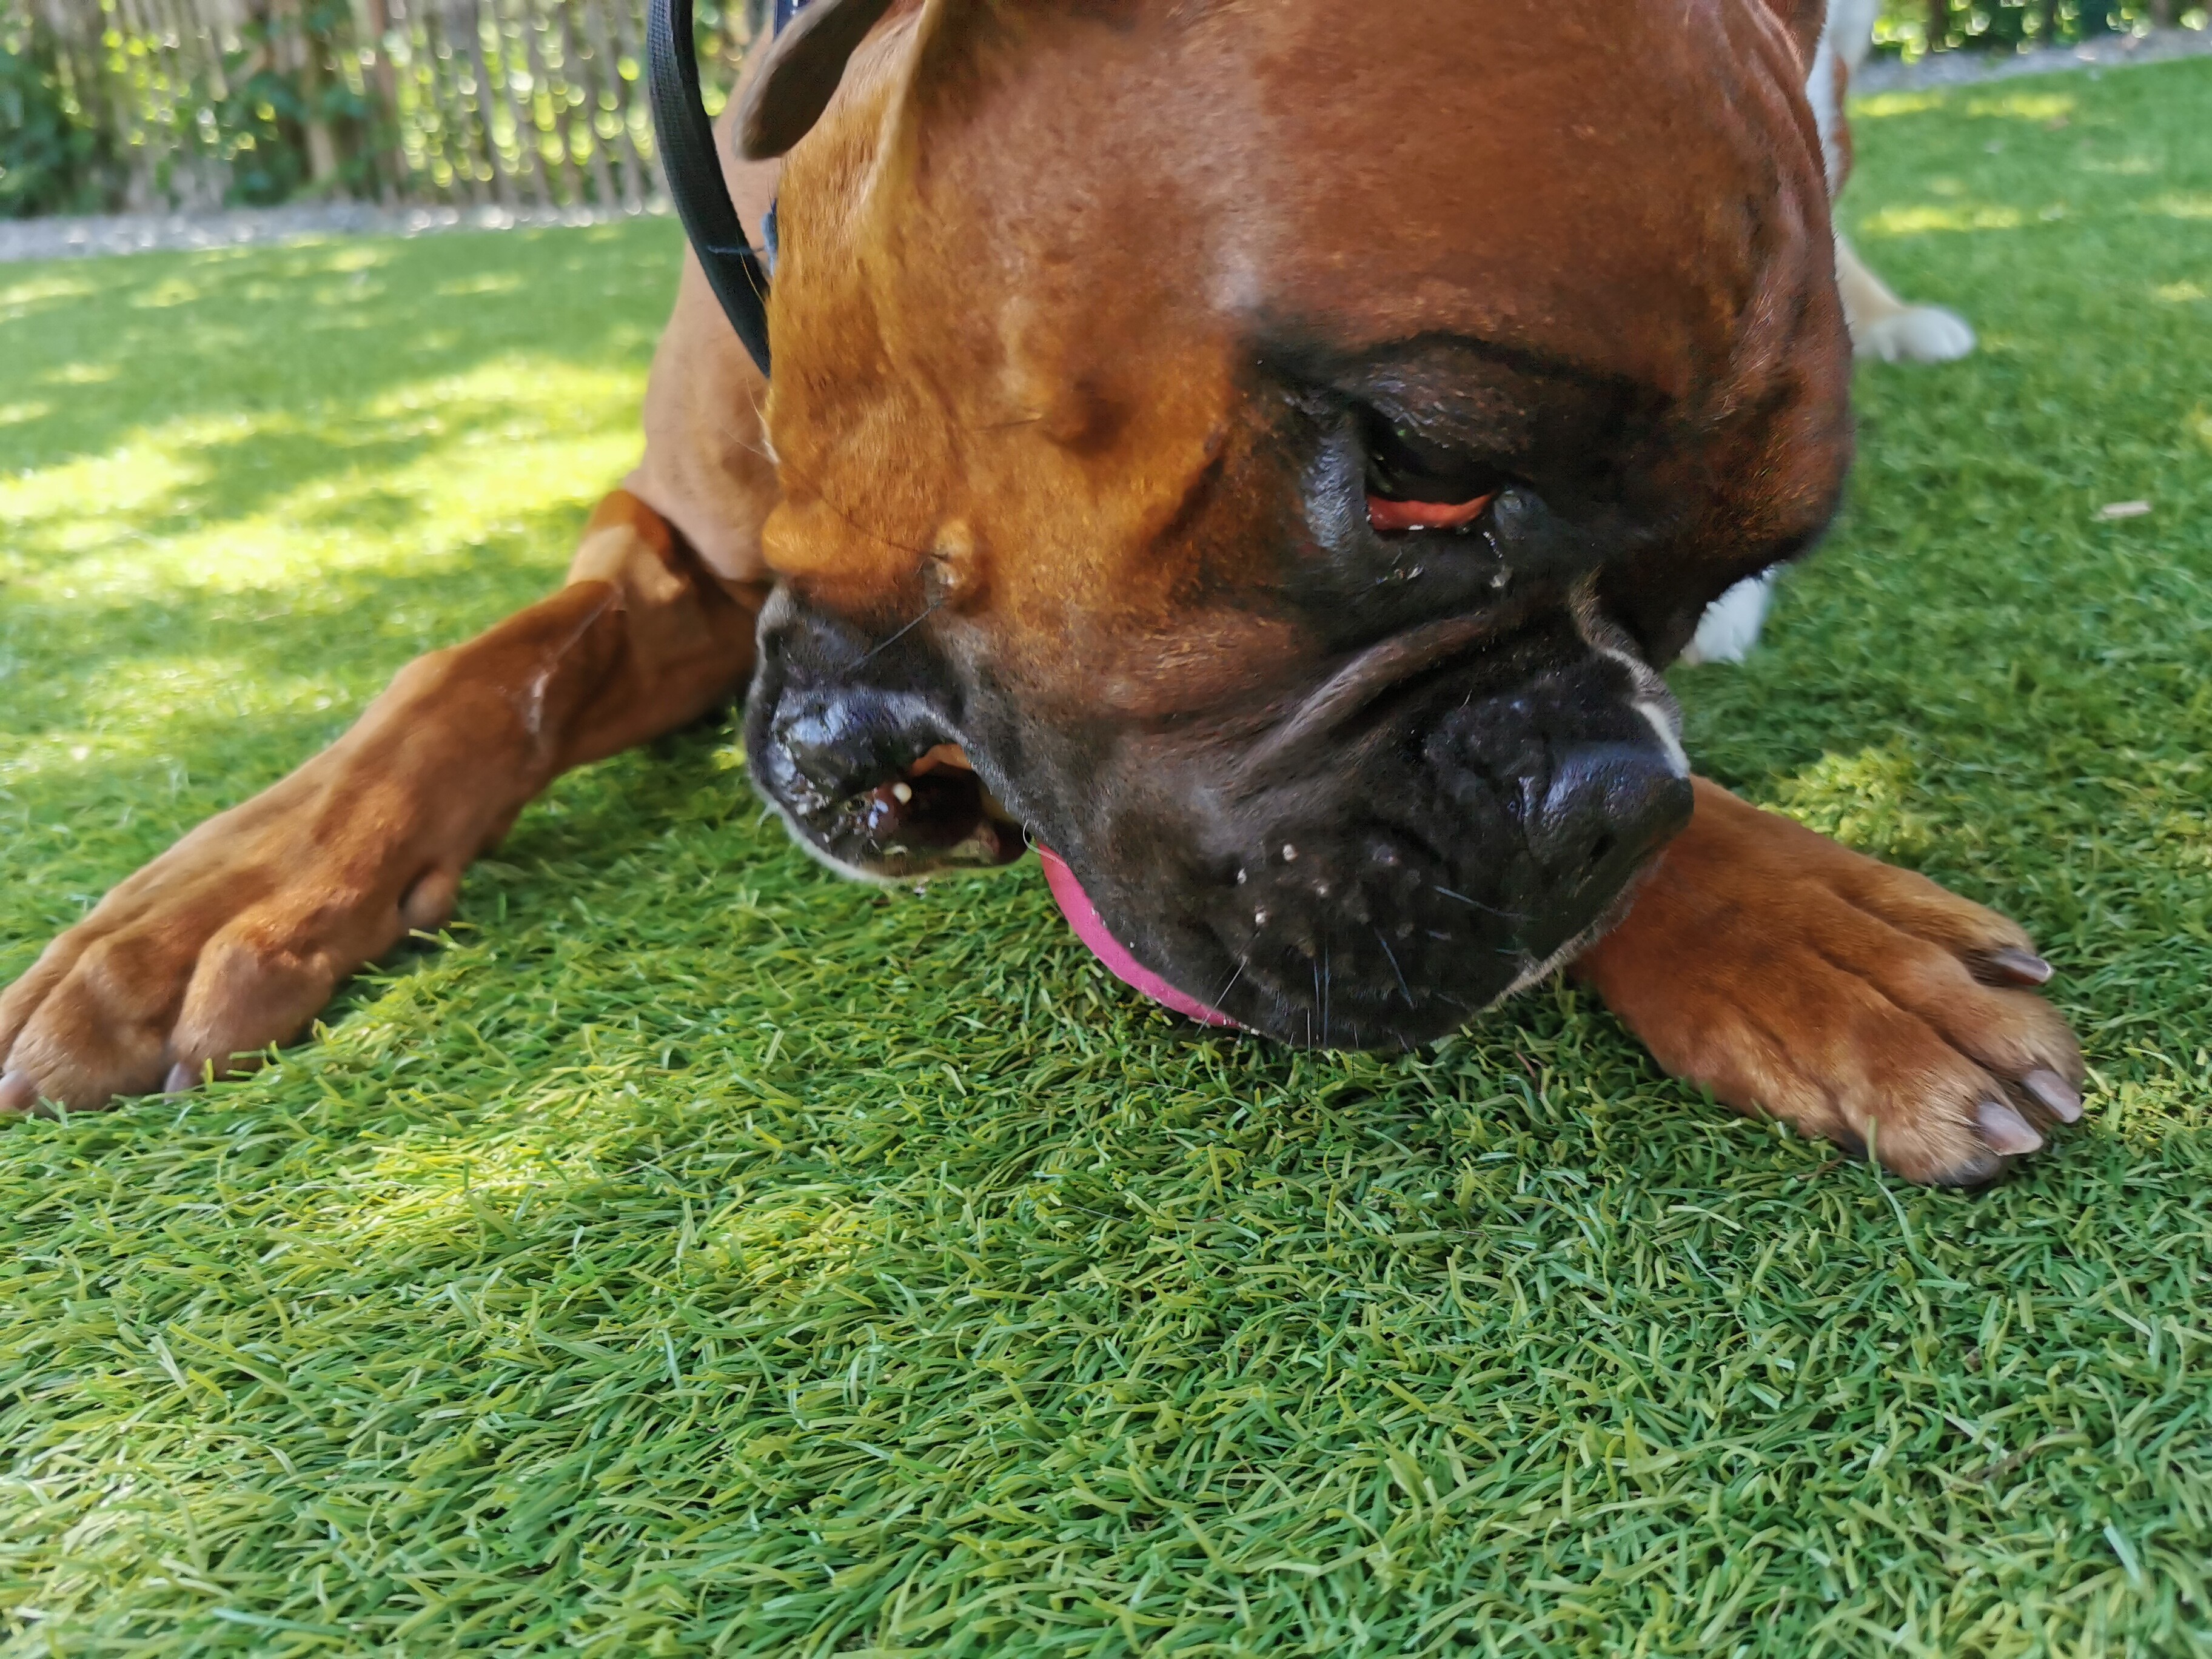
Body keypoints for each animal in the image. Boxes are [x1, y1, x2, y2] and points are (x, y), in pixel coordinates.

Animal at [0, 0, 2082, 1186]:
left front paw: (1802, 916)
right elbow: (477, 670)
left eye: (1682, 586)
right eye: (1421, 461)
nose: (1617, 812)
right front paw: (220, 899)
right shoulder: (666, 545)